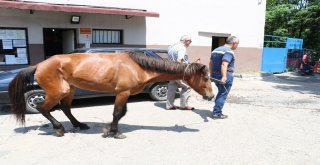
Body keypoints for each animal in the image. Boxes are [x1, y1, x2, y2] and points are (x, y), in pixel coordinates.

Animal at [9, 51, 215, 138]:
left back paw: (79, 125)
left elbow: (121, 113)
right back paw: (59, 129)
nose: (211, 96)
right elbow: (117, 113)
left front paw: (109, 129)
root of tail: (39, 65)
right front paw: (114, 133)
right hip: (57, 92)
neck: (138, 66)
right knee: (43, 108)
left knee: (66, 108)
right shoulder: (122, 93)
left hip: (70, 90)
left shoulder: (126, 94)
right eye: (205, 77)